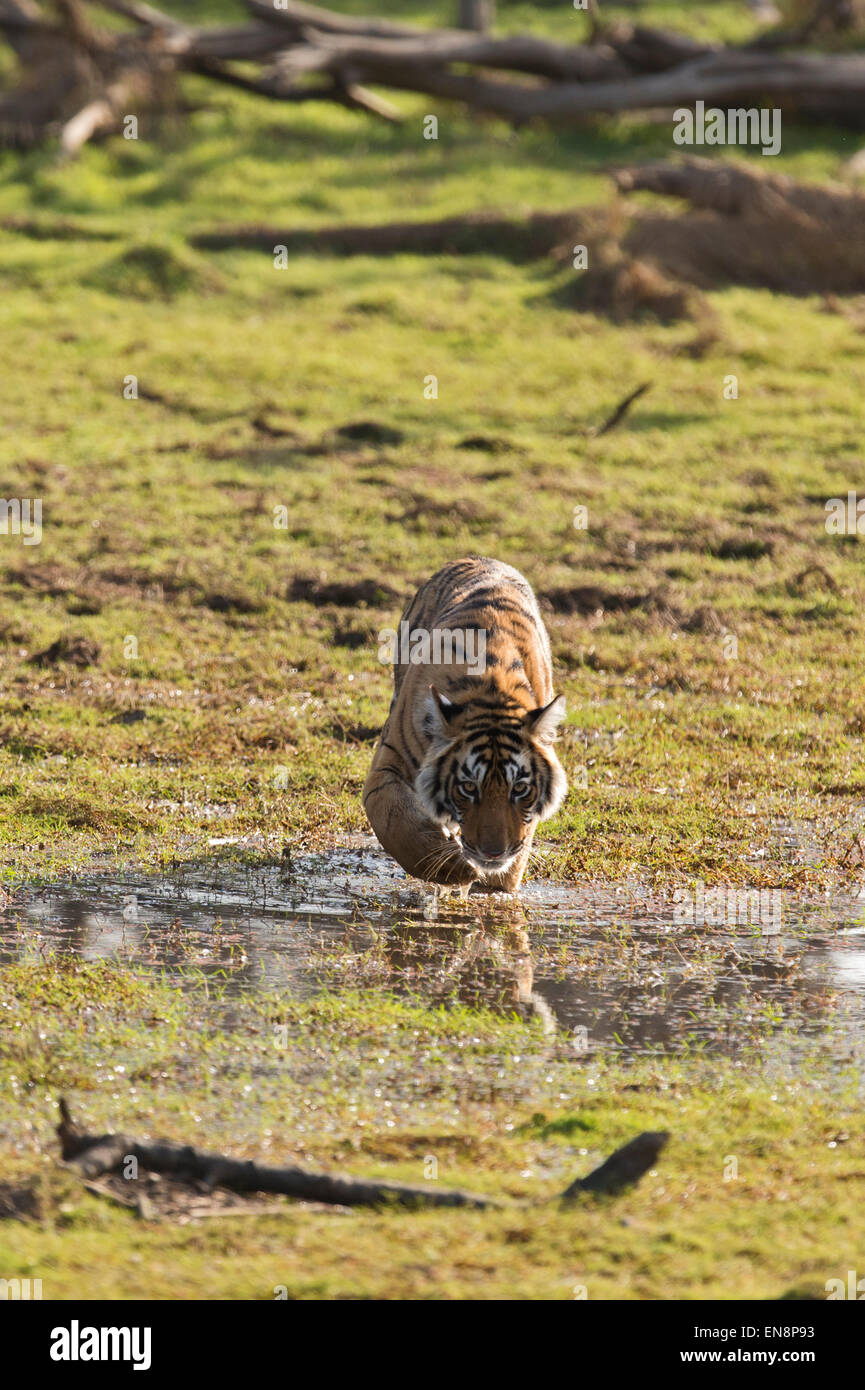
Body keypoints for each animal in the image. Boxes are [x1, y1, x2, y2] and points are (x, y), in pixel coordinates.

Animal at [362, 557, 568, 892]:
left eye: (520, 788)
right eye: (469, 787)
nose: (494, 852)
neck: (492, 689)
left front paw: (494, 885)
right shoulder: (390, 760)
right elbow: (394, 821)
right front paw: (454, 870)